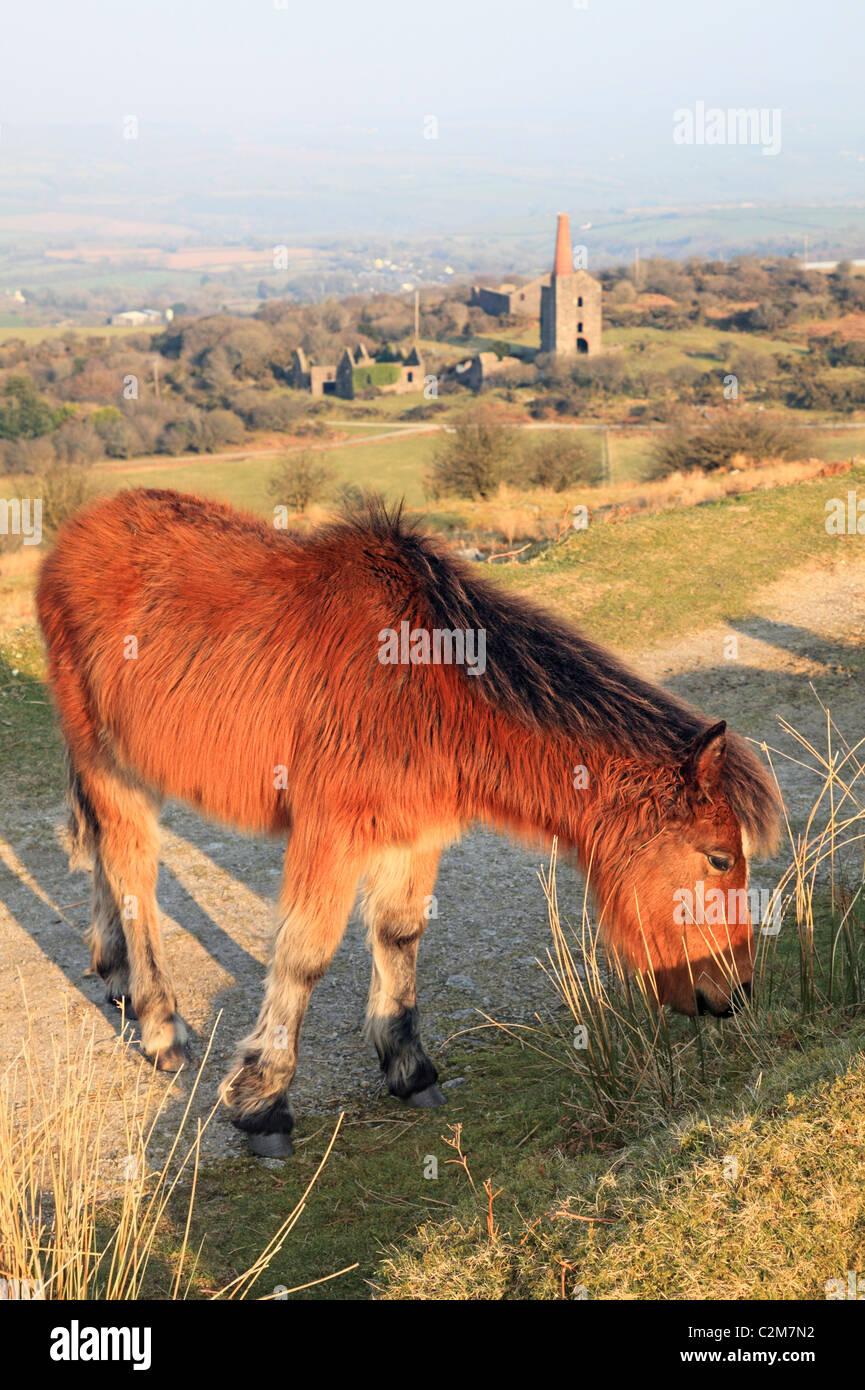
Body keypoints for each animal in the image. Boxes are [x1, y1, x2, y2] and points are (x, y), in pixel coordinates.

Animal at [35, 483, 778, 1156]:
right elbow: (304, 956)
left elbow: (399, 935)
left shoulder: (414, 834)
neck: (424, 684)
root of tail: (76, 534)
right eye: (718, 857)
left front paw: (407, 1066)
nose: (737, 994)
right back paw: (160, 1023)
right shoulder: (331, 834)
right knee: (130, 869)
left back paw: (116, 976)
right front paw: (263, 1101)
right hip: (109, 763)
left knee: (103, 857)